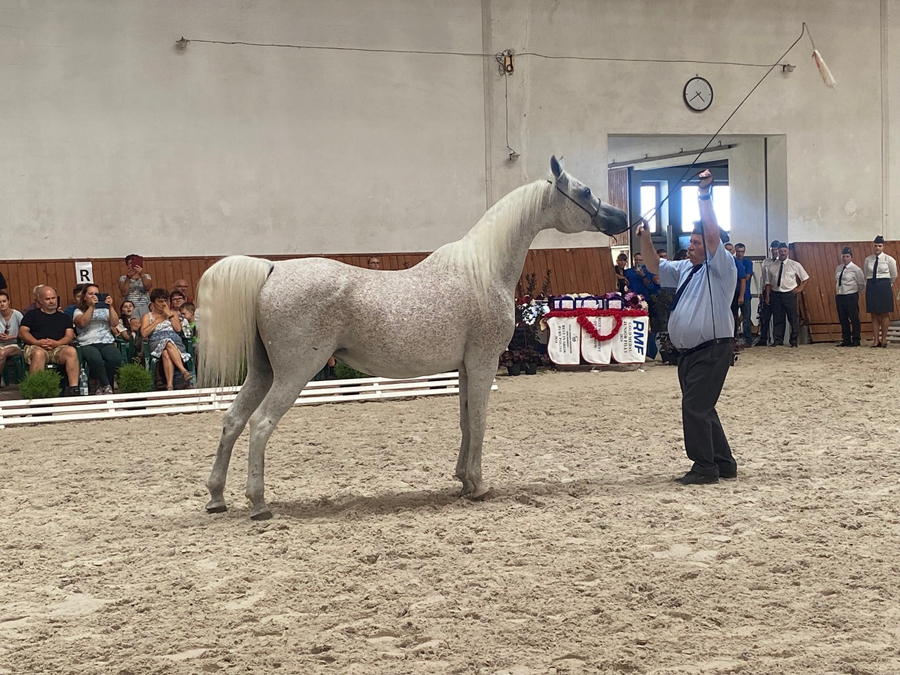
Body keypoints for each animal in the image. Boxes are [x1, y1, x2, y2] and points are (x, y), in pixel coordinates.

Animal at [199, 156, 624, 520]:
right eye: (585, 190)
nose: (620, 216)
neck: (483, 270)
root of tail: (273, 270)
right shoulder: (484, 361)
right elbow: (479, 421)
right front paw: (479, 485)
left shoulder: (465, 367)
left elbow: (465, 421)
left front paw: (463, 482)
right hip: (295, 372)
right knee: (260, 423)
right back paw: (258, 504)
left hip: (263, 371)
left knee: (233, 420)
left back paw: (217, 498)